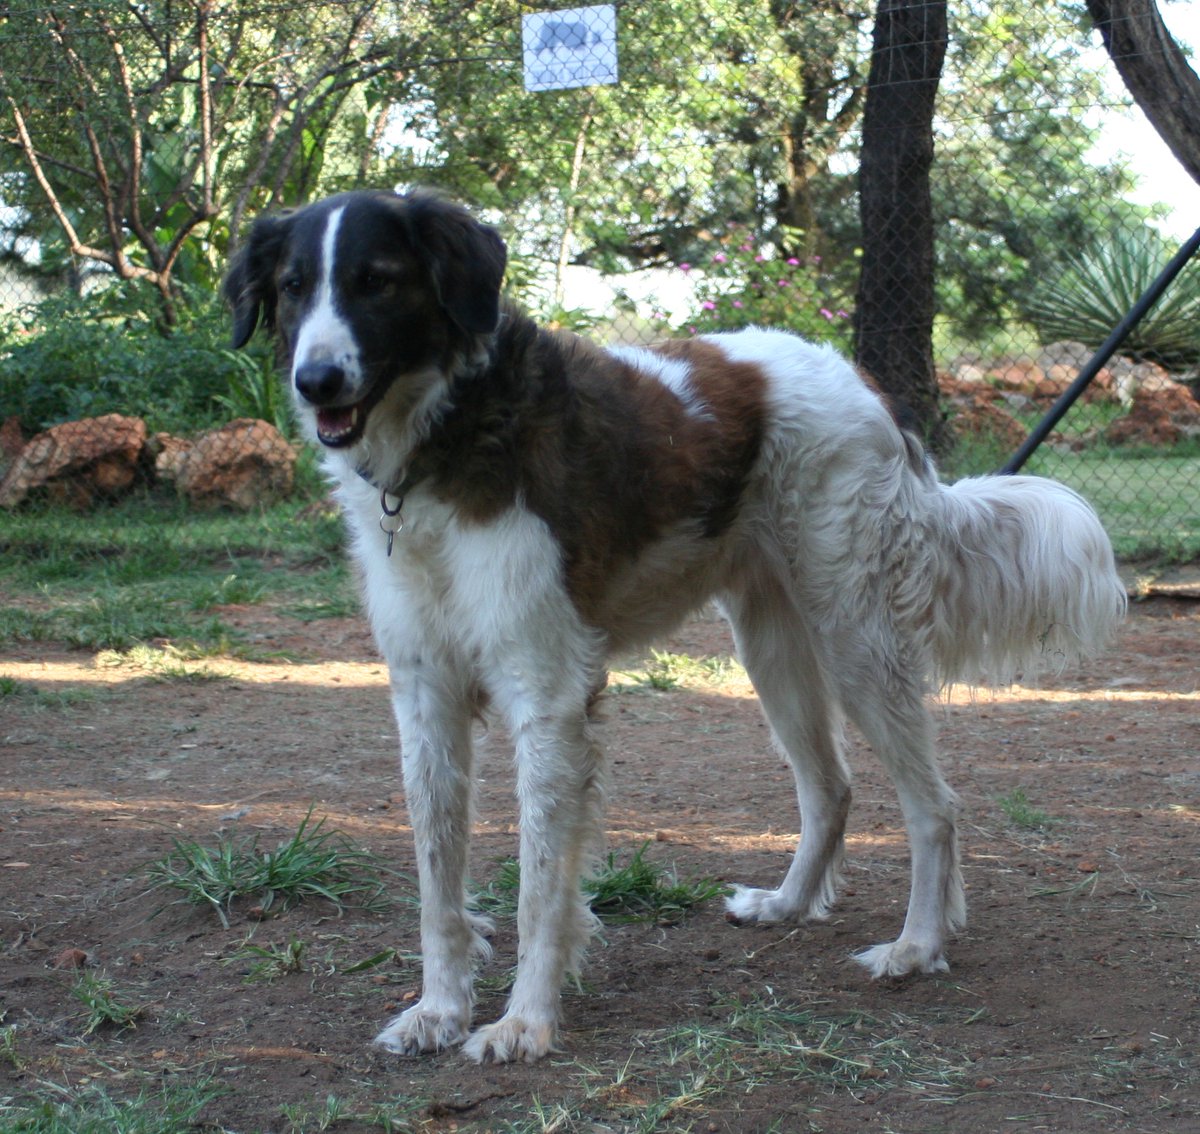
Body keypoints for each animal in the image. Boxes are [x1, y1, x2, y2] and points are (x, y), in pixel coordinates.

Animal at [223, 188, 1123, 1060]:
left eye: (377, 282)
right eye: (295, 288)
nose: (316, 380)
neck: (450, 431)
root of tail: (860, 381)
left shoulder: (548, 698)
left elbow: (538, 888)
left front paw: (525, 1025)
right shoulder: (426, 698)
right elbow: (437, 885)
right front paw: (439, 1011)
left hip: (857, 642)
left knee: (933, 806)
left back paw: (917, 947)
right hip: (771, 648)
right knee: (830, 786)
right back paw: (788, 904)